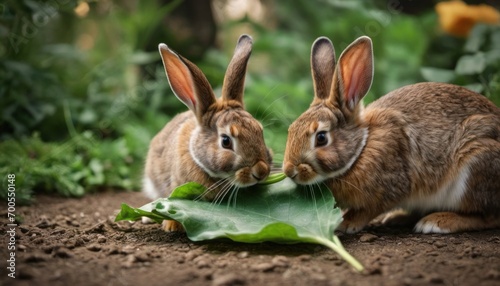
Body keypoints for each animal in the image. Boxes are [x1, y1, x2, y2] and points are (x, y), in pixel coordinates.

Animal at [282, 35, 500, 233]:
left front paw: (347, 223)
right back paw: (398, 218)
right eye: (291, 129)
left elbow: (370, 210)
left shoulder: (393, 187)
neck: (361, 149)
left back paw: (437, 222)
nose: (289, 170)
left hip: (476, 163)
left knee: (489, 217)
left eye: (321, 138)